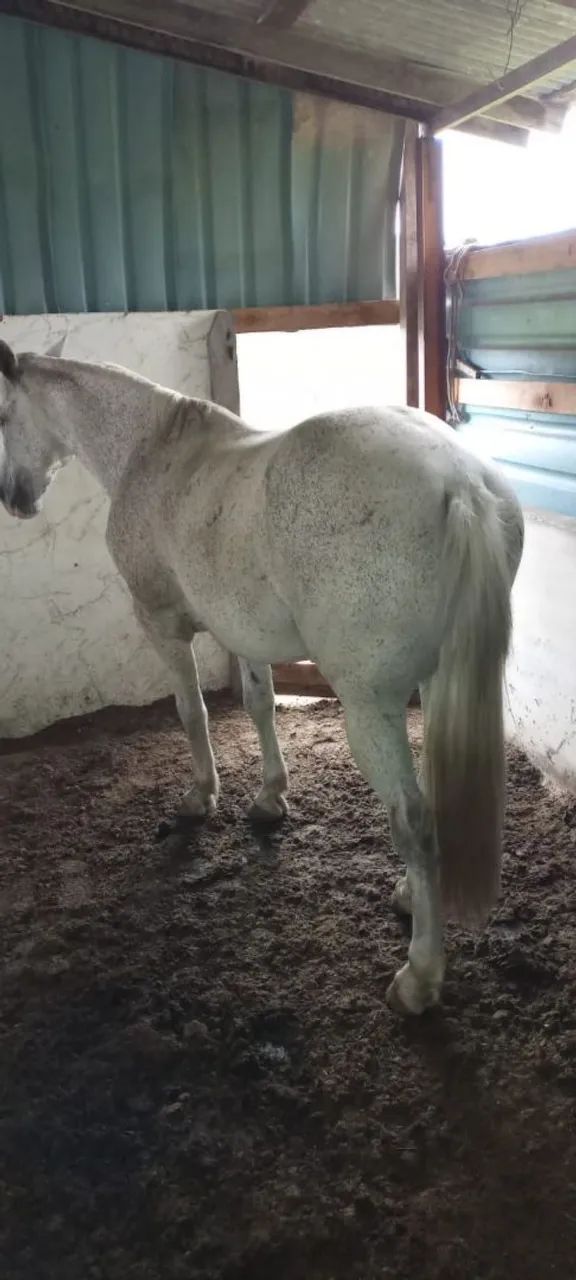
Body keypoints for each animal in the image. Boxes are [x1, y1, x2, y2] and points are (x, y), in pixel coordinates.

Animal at [0, 338, 524, 1014]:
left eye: (3, 416)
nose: (15, 498)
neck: (152, 448)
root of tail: (463, 485)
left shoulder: (161, 625)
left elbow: (191, 713)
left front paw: (202, 796)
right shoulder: (243, 631)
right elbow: (259, 703)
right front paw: (270, 798)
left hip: (369, 705)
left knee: (411, 818)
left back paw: (420, 975)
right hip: (437, 682)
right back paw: (412, 895)